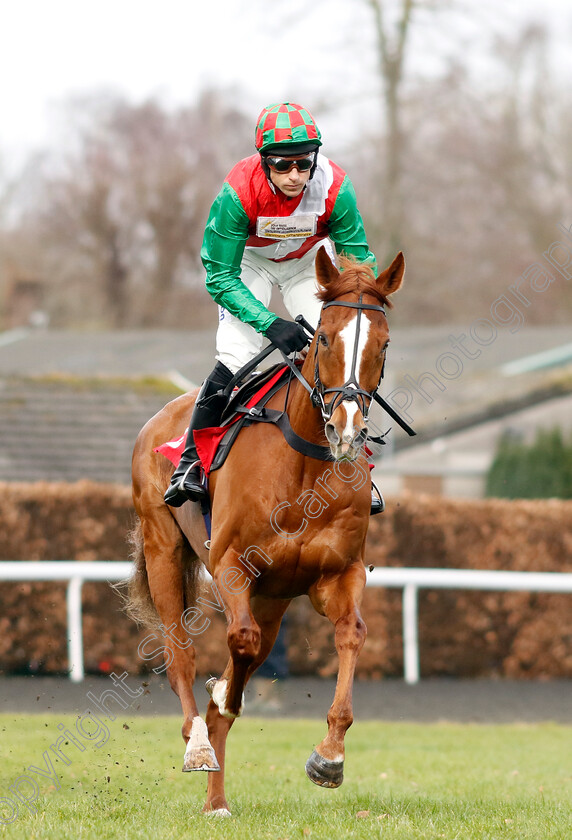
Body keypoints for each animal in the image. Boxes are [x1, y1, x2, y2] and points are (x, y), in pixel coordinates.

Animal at [128, 244, 404, 812]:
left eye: (383, 344)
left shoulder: (336, 575)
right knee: (179, 655)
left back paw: (216, 802)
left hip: (274, 598)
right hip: (164, 547)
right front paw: (220, 698)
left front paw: (329, 756)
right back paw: (197, 743)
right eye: (325, 337)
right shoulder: (231, 565)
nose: (346, 428)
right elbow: (240, 641)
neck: (302, 467)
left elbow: (352, 635)